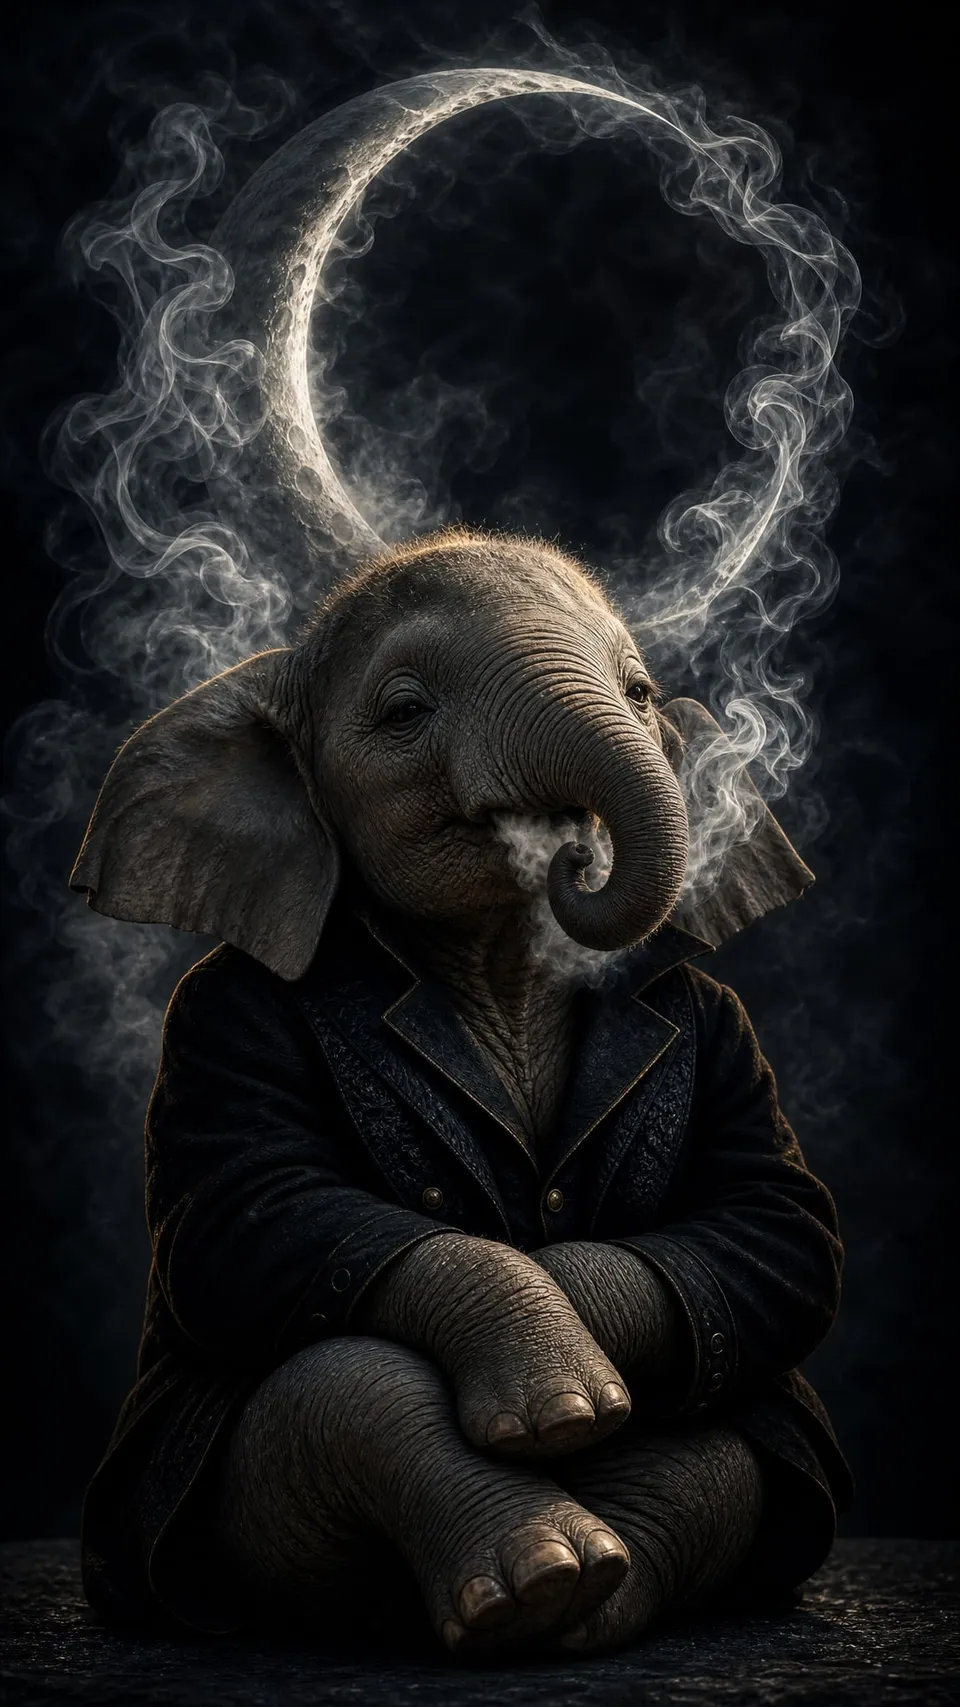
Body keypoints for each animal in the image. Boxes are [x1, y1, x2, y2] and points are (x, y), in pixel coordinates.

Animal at [71, 525, 850, 1656]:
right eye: (404, 711)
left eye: (642, 693)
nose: (571, 852)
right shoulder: (218, 1016)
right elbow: (244, 1212)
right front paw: (561, 1404)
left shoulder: (727, 1026)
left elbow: (778, 1219)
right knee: (343, 1384)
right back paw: (542, 1582)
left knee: (719, 1438)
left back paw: (588, 1597)